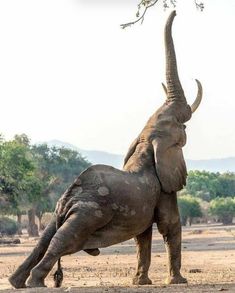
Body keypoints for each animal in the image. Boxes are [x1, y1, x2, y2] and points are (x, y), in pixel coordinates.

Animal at [8, 10, 202, 288]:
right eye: (182, 127)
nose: (175, 11)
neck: (145, 142)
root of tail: (69, 199)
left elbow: (143, 235)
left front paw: (141, 282)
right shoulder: (164, 188)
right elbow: (169, 225)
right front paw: (178, 282)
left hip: (62, 209)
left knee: (47, 237)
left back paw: (17, 282)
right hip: (88, 213)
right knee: (63, 240)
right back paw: (35, 282)